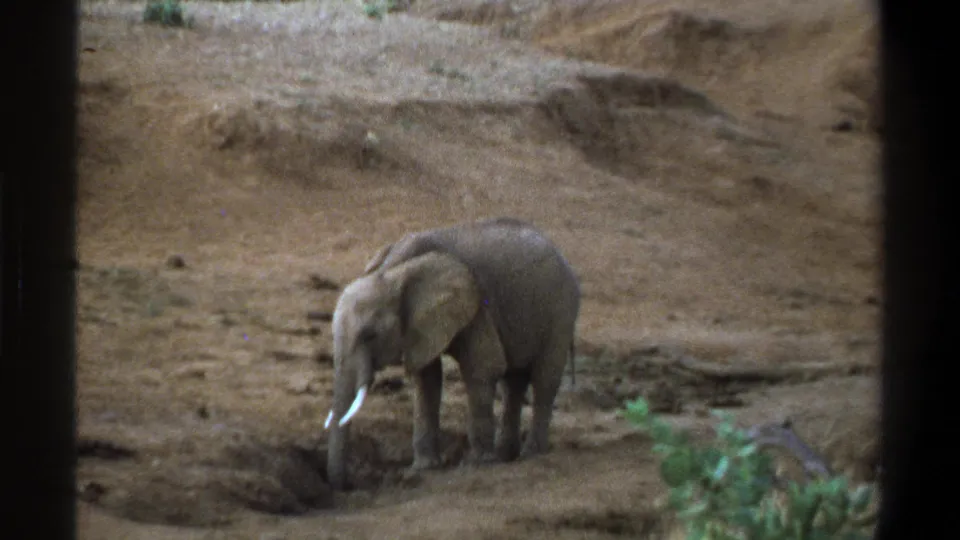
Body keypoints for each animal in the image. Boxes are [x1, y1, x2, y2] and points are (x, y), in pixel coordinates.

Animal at [322, 217, 581, 490]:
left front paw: (478, 464)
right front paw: (425, 468)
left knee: (544, 379)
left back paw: (531, 454)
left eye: (370, 335)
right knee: (514, 381)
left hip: (561, 311)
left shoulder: (476, 306)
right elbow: (427, 378)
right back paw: (506, 455)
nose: (348, 484)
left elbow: (483, 367)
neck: (391, 272)